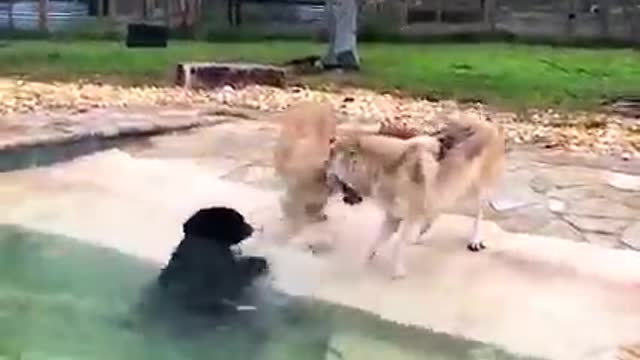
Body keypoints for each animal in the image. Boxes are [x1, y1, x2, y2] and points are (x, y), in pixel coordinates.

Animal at [330, 117, 504, 278]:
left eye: (333, 166)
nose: (327, 175)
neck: (383, 168)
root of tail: (488, 124)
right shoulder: (393, 216)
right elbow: (376, 241)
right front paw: (366, 261)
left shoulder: (410, 216)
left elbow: (398, 245)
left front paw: (398, 271)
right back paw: (421, 232)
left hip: (476, 193)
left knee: (478, 216)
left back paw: (474, 240)